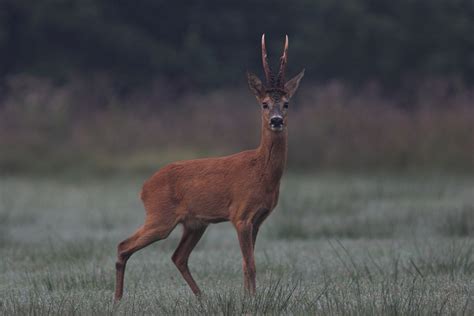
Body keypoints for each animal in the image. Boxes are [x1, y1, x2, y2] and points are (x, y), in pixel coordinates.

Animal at [115, 34, 304, 298]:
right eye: (264, 104)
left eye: (287, 103)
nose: (276, 121)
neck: (262, 172)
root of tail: (144, 187)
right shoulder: (240, 214)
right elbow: (250, 264)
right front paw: (251, 299)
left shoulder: (258, 218)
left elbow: (246, 262)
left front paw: (248, 297)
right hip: (160, 216)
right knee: (124, 245)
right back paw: (117, 300)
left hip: (195, 223)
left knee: (178, 256)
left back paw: (201, 298)